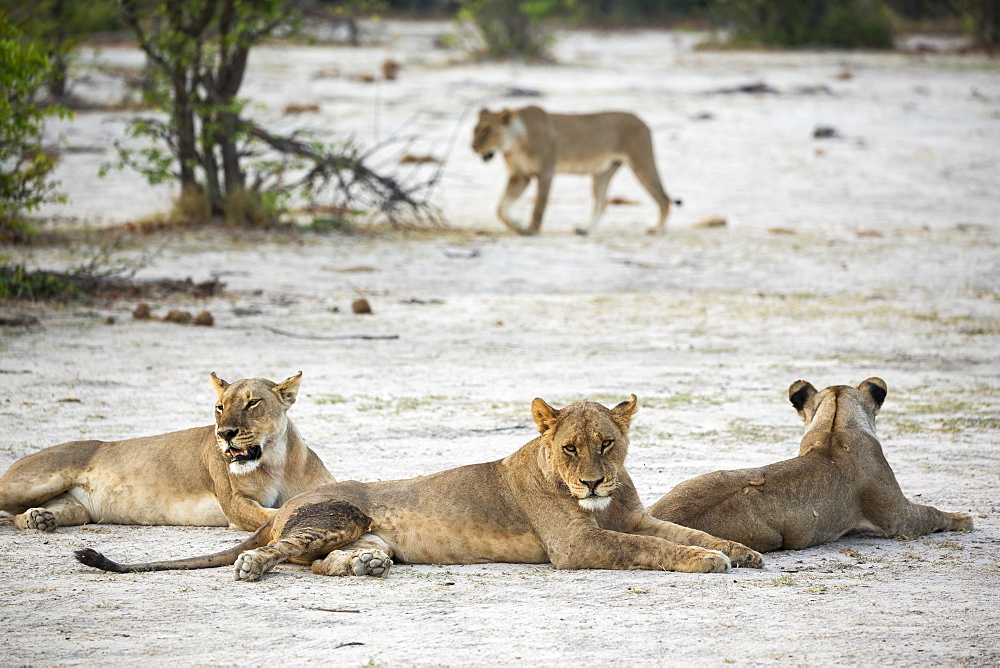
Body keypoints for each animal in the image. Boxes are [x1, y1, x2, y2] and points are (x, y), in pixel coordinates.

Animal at [0, 370, 336, 532]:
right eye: (220, 407)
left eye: (252, 403)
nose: (224, 434)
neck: (277, 460)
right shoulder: (235, 504)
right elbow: (273, 513)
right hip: (33, 482)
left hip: (77, 509)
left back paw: (39, 520)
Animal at [78, 396, 760, 580]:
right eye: (569, 448)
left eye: (607, 444)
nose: (592, 480)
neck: (603, 500)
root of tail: (286, 505)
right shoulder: (578, 547)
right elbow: (656, 549)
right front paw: (708, 561)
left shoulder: (633, 518)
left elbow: (680, 530)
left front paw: (742, 550)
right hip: (337, 515)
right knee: (274, 554)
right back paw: (255, 566)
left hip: (347, 533)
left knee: (317, 564)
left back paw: (368, 565)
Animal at [470, 105, 676, 236]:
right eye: (475, 130)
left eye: (487, 130)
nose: (472, 147)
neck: (514, 144)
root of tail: (642, 121)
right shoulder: (520, 176)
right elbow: (501, 208)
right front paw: (517, 226)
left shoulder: (546, 172)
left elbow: (539, 206)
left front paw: (531, 230)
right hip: (602, 173)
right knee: (600, 205)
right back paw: (584, 230)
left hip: (641, 161)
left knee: (663, 198)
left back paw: (657, 229)